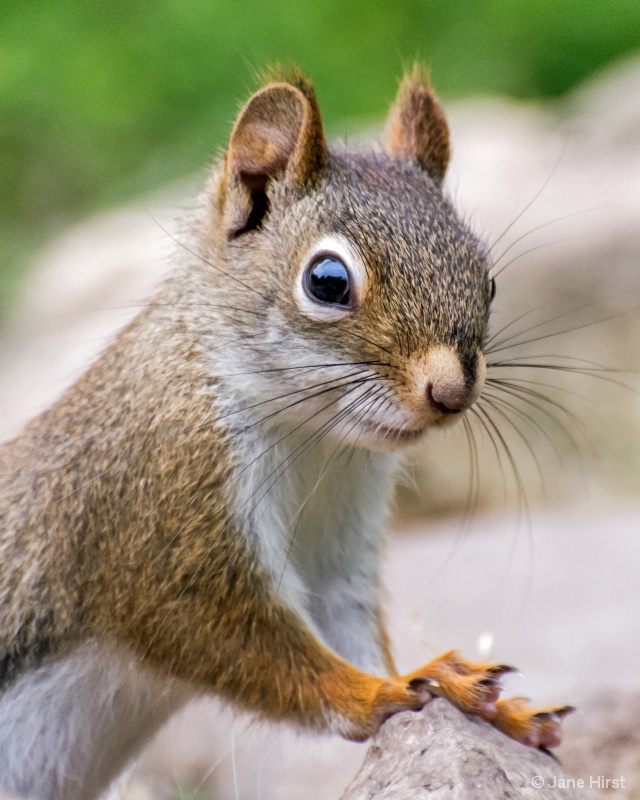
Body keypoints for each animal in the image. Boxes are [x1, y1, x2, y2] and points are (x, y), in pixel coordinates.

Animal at [0, 69, 572, 800]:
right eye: (327, 282)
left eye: (489, 279)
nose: (451, 392)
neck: (315, 443)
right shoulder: (161, 524)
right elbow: (234, 643)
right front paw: (376, 691)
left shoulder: (335, 541)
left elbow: (344, 623)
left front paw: (453, 684)